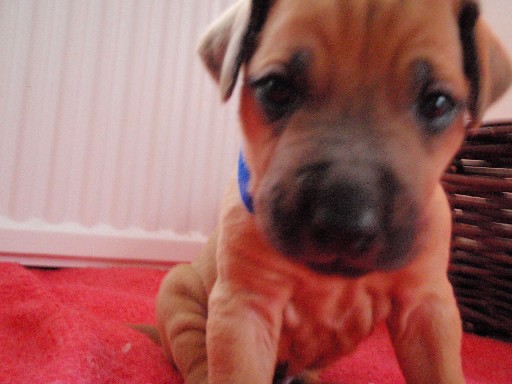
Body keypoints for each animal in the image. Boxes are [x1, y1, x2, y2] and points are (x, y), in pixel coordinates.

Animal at [157, 1, 512, 382]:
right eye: (275, 87)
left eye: (438, 103)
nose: (345, 224)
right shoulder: (245, 309)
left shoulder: (427, 307)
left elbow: (442, 369)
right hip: (178, 293)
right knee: (195, 352)